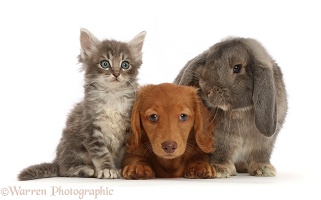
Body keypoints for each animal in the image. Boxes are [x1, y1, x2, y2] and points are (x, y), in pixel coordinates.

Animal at [18, 27, 146, 180]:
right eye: (105, 63)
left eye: (125, 64)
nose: (116, 74)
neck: (112, 96)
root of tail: (57, 160)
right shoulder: (90, 127)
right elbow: (102, 153)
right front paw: (107, 169)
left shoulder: (127, 130)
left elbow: (122, 154)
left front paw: (120, 169)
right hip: (72, 147)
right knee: (64, 170)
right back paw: (87, 170)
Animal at [175, 36, 288, 177]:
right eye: (207, 62)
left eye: (237, 67)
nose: (206, 89)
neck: (241, 111)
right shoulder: (221, 139)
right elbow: (221, 152)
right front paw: (220, 169)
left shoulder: (264, 142)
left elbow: (260, 155)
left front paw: (264, 169)